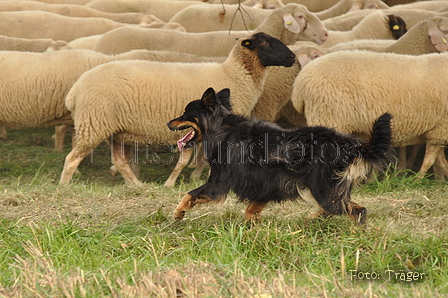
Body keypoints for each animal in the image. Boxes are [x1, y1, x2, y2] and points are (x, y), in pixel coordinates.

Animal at [59, 32, 298, 186]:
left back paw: (138, 185)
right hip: (94, 124)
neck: (234, 75)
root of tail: (75, 90)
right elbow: (191, 159)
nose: (293, 57)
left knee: (119, 161)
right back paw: (64, 186)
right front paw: (174, 182)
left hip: (113, 130)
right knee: (72, 158)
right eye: (264, 42)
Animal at [166, 87, 394, 225]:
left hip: (324, 190)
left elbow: (189, 194)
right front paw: (253, 225)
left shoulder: (218, 183)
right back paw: (312, 219)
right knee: (344, 208)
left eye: (185, 113)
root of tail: (349, 144)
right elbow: (250, 211)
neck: (221, 127)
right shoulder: (265, 184)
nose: (168, 122)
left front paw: (178, 213)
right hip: (330, 191)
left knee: (357, 211)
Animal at [290, 49, 448, 179]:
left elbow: (438, 160)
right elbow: (430, 161)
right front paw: (418, 180)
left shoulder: (438, 131)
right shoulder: (440, 129)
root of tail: (299, 84)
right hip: (328, 118)